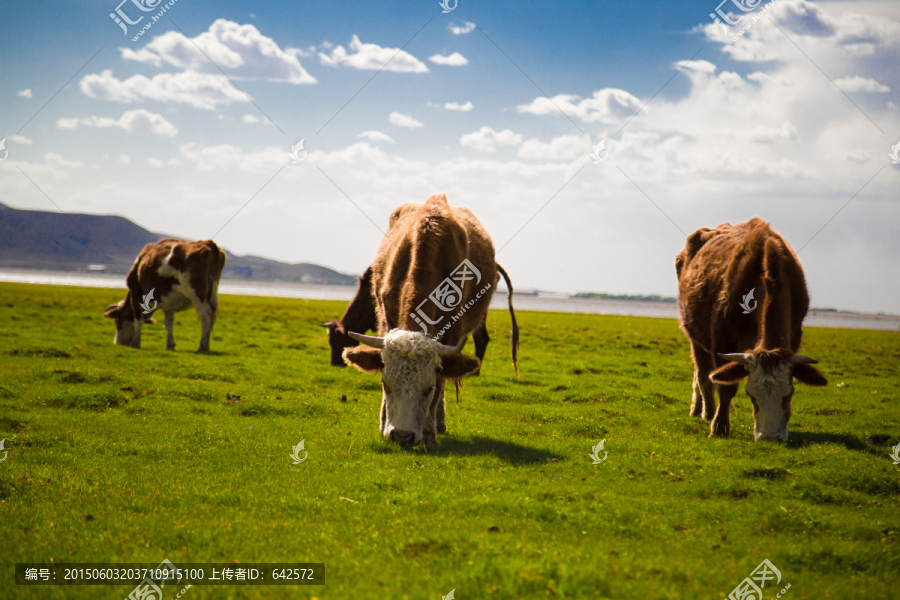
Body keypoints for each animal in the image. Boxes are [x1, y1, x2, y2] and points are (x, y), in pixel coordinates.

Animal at [676, 217, 828, 440]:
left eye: (789, 394)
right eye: (751, 395)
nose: (770, 438)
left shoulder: (794, 335)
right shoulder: (723, 339)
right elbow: (726, 387)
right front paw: (719, 426)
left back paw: (698, 409)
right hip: (694, 335)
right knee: (704, 374)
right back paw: (707, 412)